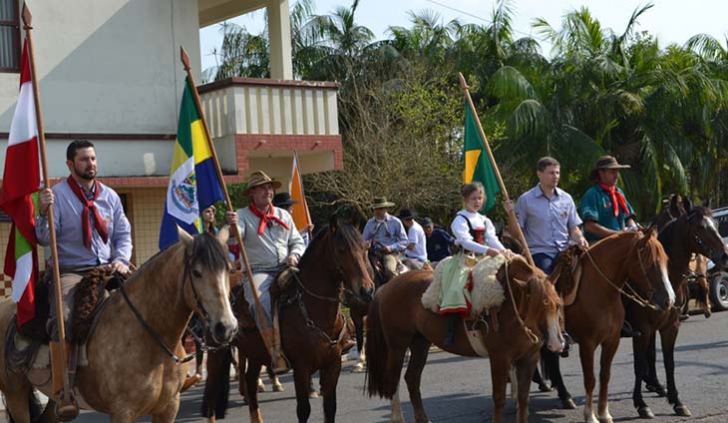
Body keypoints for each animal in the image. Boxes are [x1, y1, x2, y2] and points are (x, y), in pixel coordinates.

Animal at [0, 232, 237, 423]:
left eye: (228, 269)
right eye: (196, 272)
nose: (226, 327)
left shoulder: (168, 408)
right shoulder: (123, 411)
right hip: (15, 393)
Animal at [203, 219, 376, 423]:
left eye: (365, 247)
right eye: (341, 250)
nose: (366, 290)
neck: (310, 308)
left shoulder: (333, 365)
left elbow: (330, 407)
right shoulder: (301, 368)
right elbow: (303, 410)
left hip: (254, 353)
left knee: (251, 382)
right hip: (216, 351)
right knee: (212, 392)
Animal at [364, 255, 564, 423]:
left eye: (558, 304)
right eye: (537, 305)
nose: (556, 343)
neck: (509, 304)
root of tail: (388, 286)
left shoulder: (528, 359)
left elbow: (523, 399)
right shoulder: (499, 358)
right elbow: (499, 398)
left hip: (420, 343)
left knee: (412, 378)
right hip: (397, 345)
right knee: (392, 380)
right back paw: (398, 418)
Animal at [552, 229, 676, 423]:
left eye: (665, 261)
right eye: (650, 264)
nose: (670, 300)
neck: (601, 292)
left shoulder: (612, 341)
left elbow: (605, 376)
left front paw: (604, 414)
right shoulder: (587, 344)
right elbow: (590, 379)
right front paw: (590, 416)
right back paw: (564, 397)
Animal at [624, 205, 728, 418]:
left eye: (715, 223)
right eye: (700, 226)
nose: (725, 255)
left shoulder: (669, 326)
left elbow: (668, 362)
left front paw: (676, 401)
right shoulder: (642, 329)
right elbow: (639, 364)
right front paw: (641, 404)